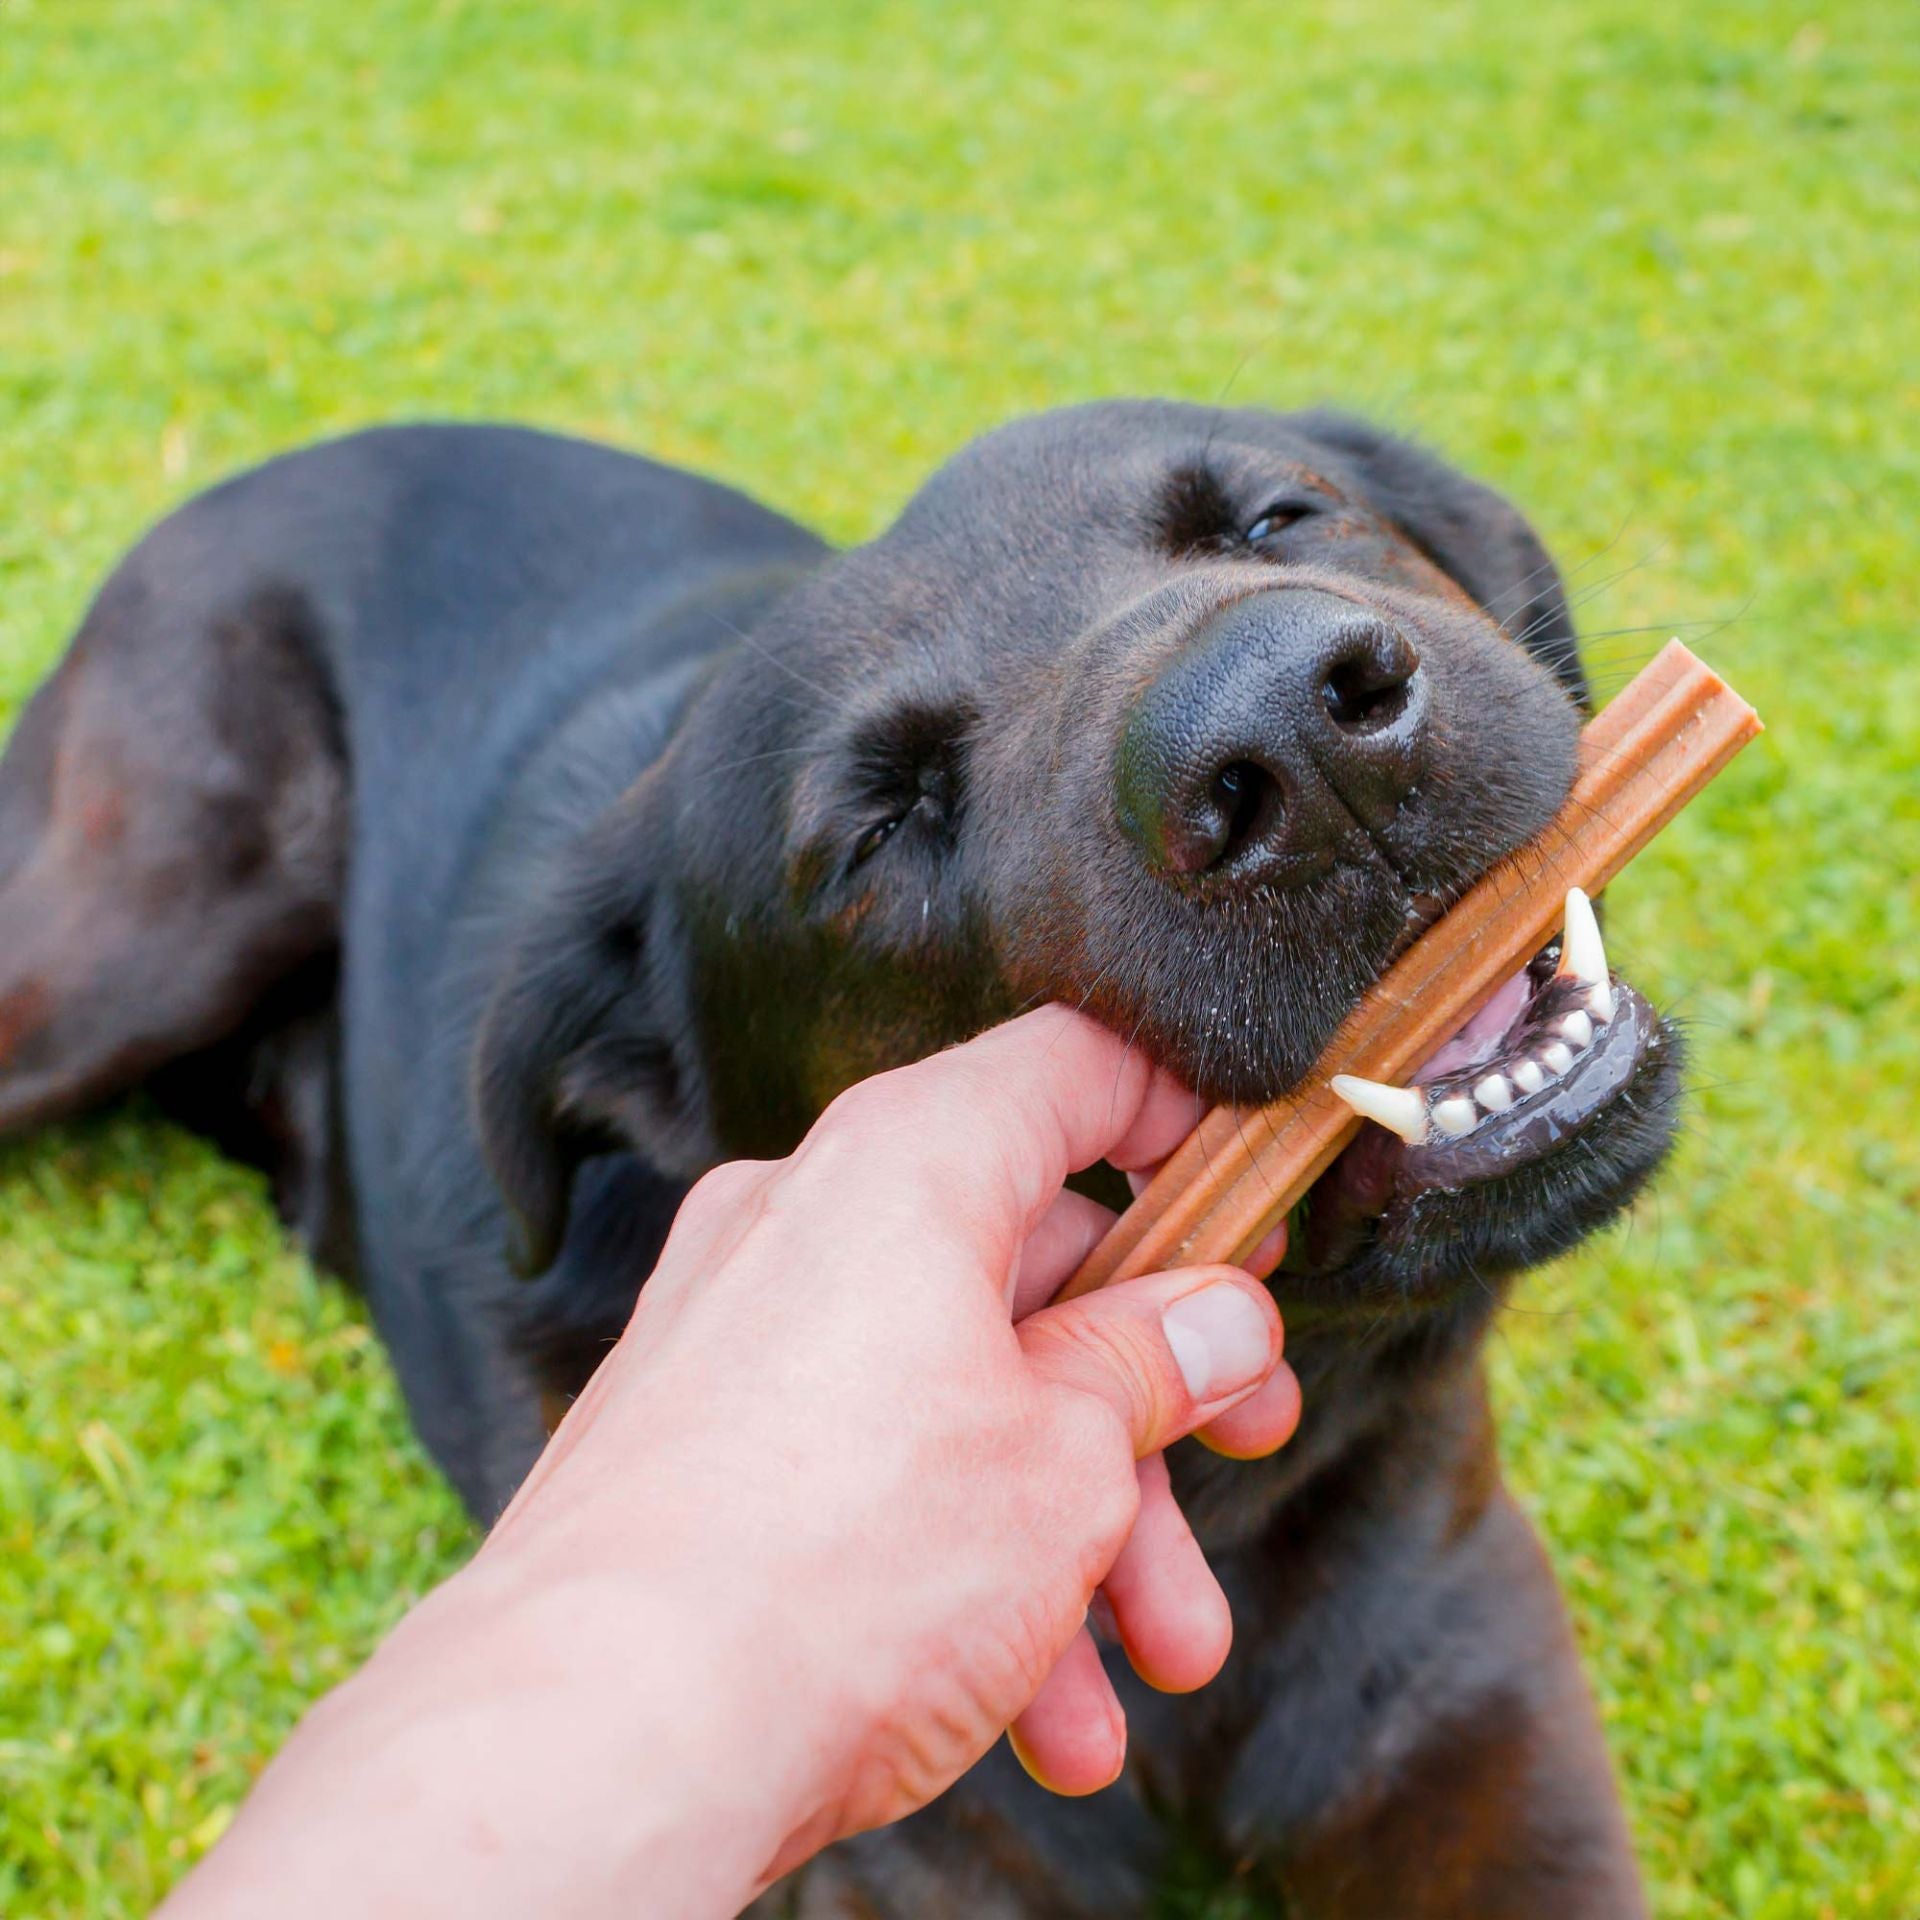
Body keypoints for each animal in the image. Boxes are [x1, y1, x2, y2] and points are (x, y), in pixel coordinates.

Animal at [0, 408, 1674, 1920]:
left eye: (1272, 517)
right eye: (882, 828)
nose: (1289, 742)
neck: (1226, 1529)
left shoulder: (1471, 1713)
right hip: (145, 932)